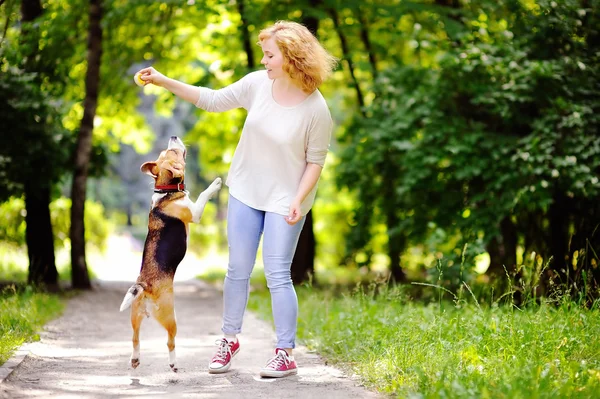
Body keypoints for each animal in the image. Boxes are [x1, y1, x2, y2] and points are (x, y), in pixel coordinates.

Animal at [118, 136, 221, 374]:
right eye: (172, 152)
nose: (173, 136)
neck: (165, 191)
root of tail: (144, 285)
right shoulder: (195, 213)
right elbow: (204, 194)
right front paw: (216, 184)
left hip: (134, 316)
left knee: (135, 339)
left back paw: (135, 359)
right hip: (170, 317)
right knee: (170, 341)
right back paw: (173, 364)